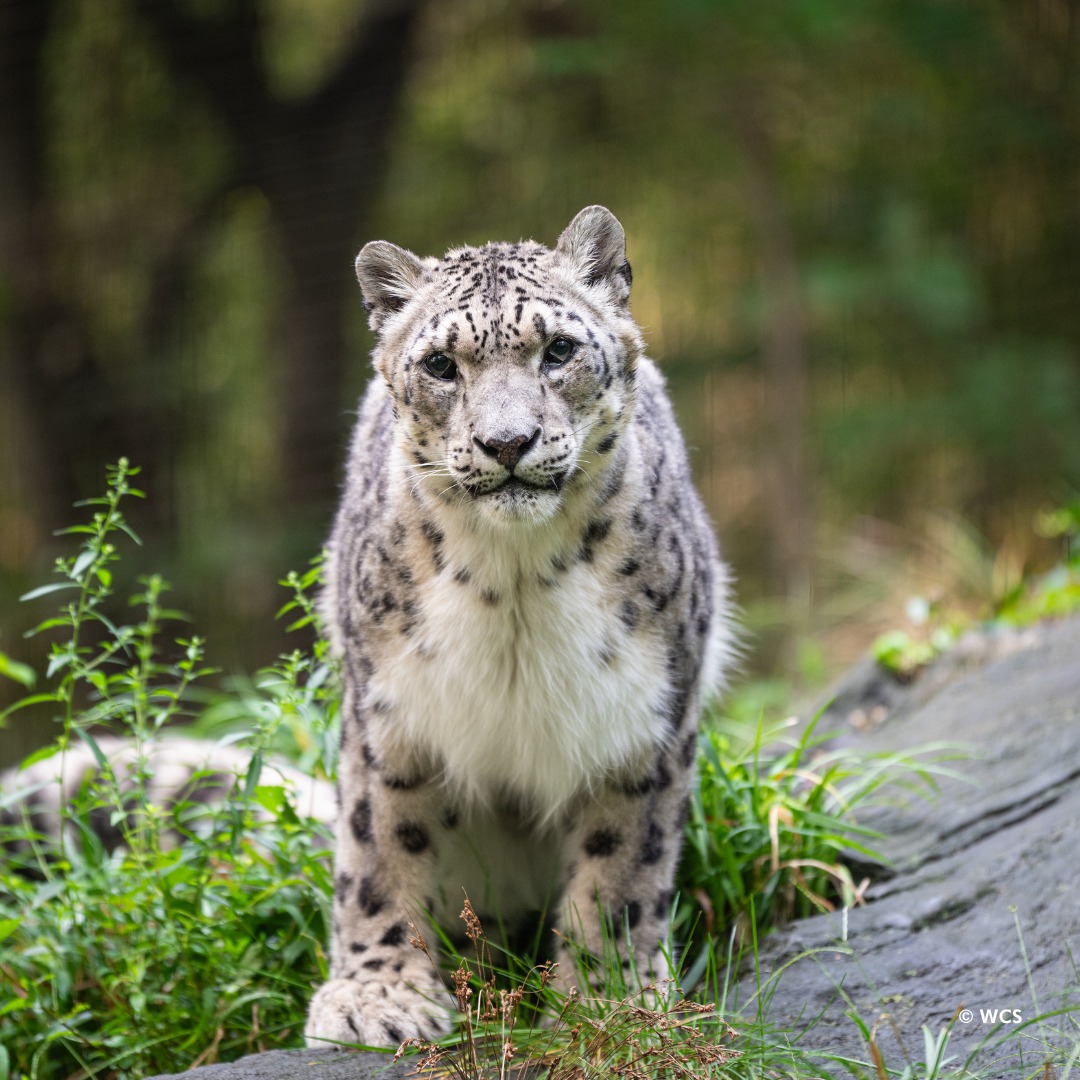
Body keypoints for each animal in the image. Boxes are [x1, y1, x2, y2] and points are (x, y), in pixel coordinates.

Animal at [304, 206, 735, 1049]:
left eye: (558, 350)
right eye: (442, 365)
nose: (507, 443)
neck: (515, 584)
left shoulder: (642, 716)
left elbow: (621, 865)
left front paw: (609, 999)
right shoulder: (390, 710)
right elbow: (378, 849)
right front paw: (378, 999)